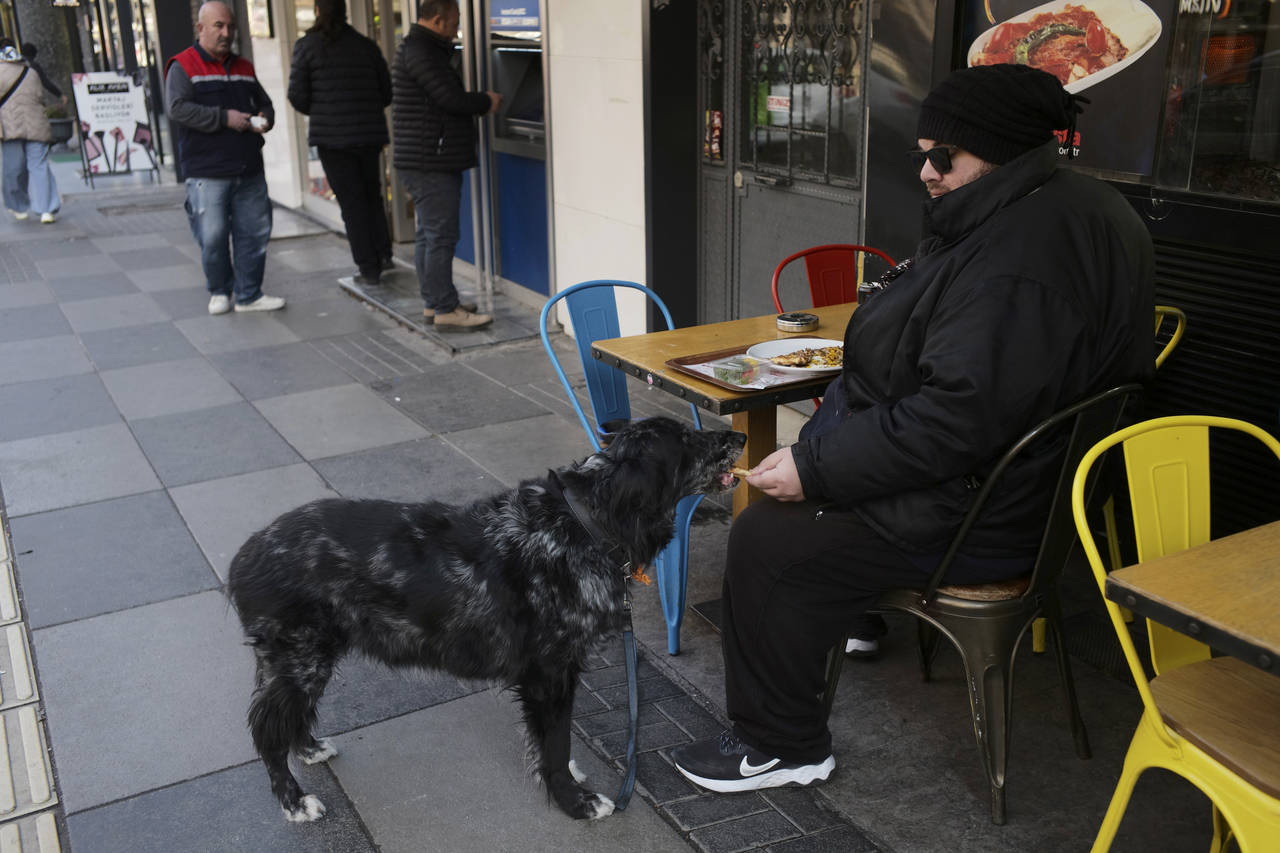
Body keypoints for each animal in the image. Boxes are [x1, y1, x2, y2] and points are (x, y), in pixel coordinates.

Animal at [229, 414, 747, 819]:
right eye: (687, 440)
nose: (740, 437)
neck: (583, 524)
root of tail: (247, 553)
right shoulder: (549, 674)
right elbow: (556, 743)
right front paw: (573, 802)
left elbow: (552, 740)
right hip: (301, 660)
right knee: (266, 729)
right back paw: (293, 801)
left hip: (307, 660)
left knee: (286, 717)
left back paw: (308, 748)